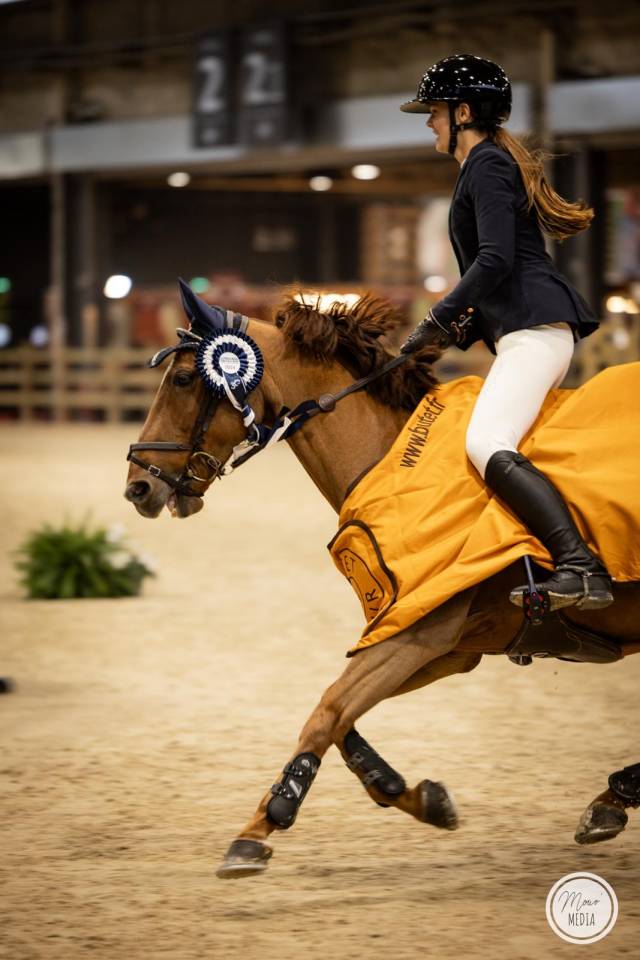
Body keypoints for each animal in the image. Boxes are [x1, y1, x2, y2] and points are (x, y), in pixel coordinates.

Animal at [124, 282, 640, 879]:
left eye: (185, 379)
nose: (137, 487)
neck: (387, 457)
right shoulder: (448, 642)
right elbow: (338, 713)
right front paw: (414, 794)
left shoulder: (417, 633)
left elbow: (327, 711)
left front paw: (259, 828)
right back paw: (615, 796)